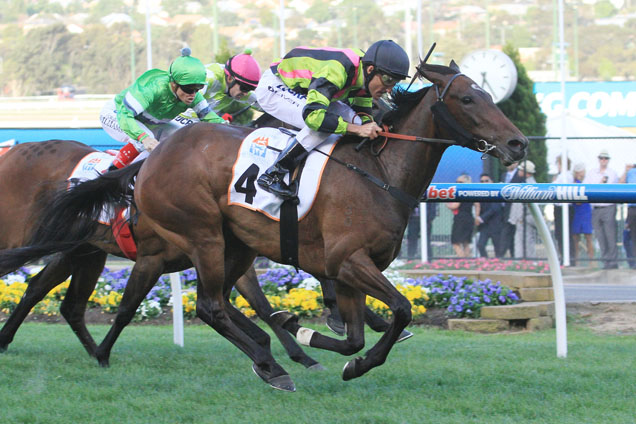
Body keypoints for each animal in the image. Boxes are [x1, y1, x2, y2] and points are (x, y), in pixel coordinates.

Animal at [0, 140, 320, 372]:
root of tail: (13, 152)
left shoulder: (227, 259)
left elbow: (261, 307)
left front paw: (300, 355)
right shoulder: (152, 258)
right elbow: (127, 310)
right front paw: (104, 355)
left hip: (82, 252)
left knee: (57, 299)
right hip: (25, 240)